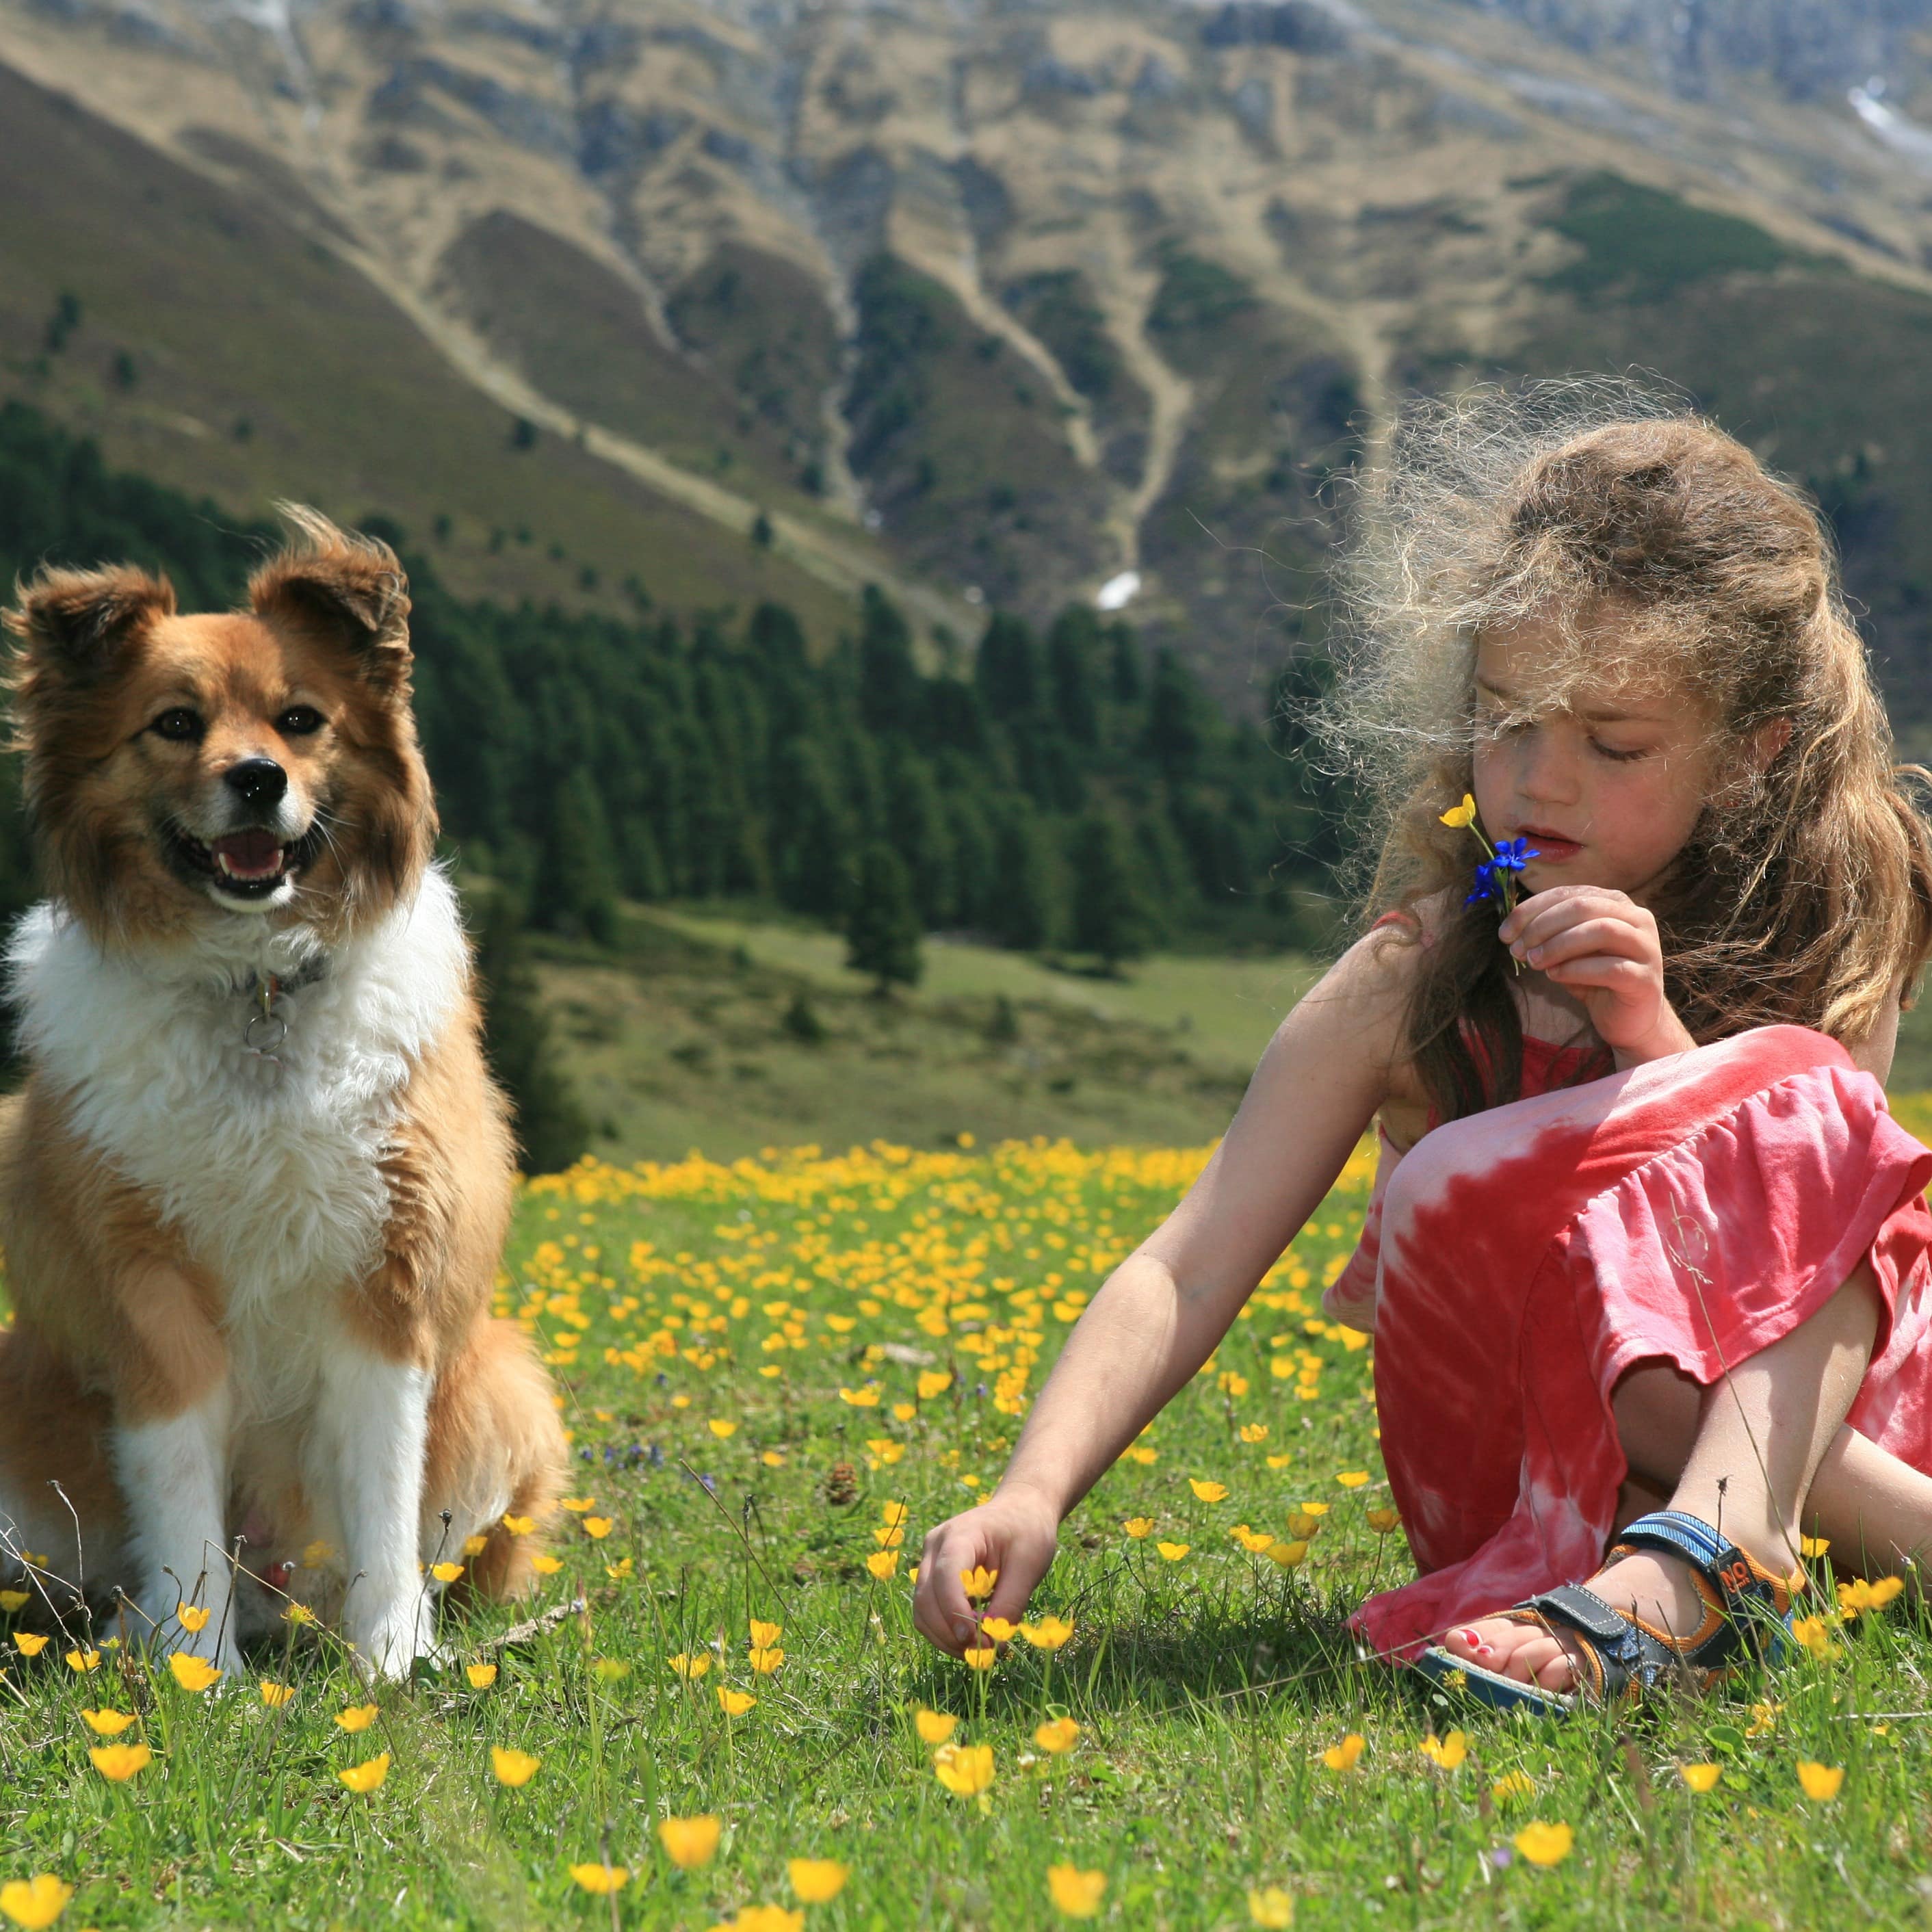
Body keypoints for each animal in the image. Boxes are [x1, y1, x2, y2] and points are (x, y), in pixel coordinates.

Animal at [0, 510, 564, 1677]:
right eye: (174, 725)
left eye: (302, 721)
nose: (259, 778)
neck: (255, 985)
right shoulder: (148, 1287)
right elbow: (177, 1496)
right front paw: (196, 1669)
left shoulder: (386, 1282)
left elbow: (387, 1500)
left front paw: (387, 1664)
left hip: (506, 1385)